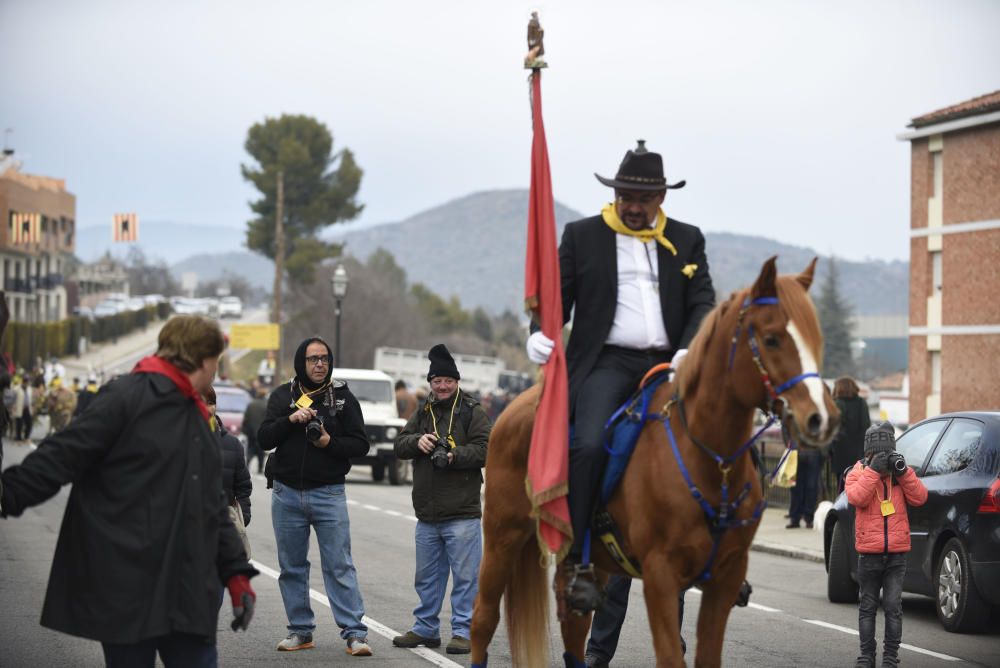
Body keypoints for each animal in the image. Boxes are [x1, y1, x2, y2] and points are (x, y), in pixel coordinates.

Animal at [472, 258, 840, 664]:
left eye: (817, 339)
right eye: (772, 338)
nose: (822, 419)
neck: (713, 463)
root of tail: (513, 407)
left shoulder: (725, 579)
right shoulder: (660, 576)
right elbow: (670, 655)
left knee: (574, 629)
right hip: (503, 536)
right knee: (483, 618)